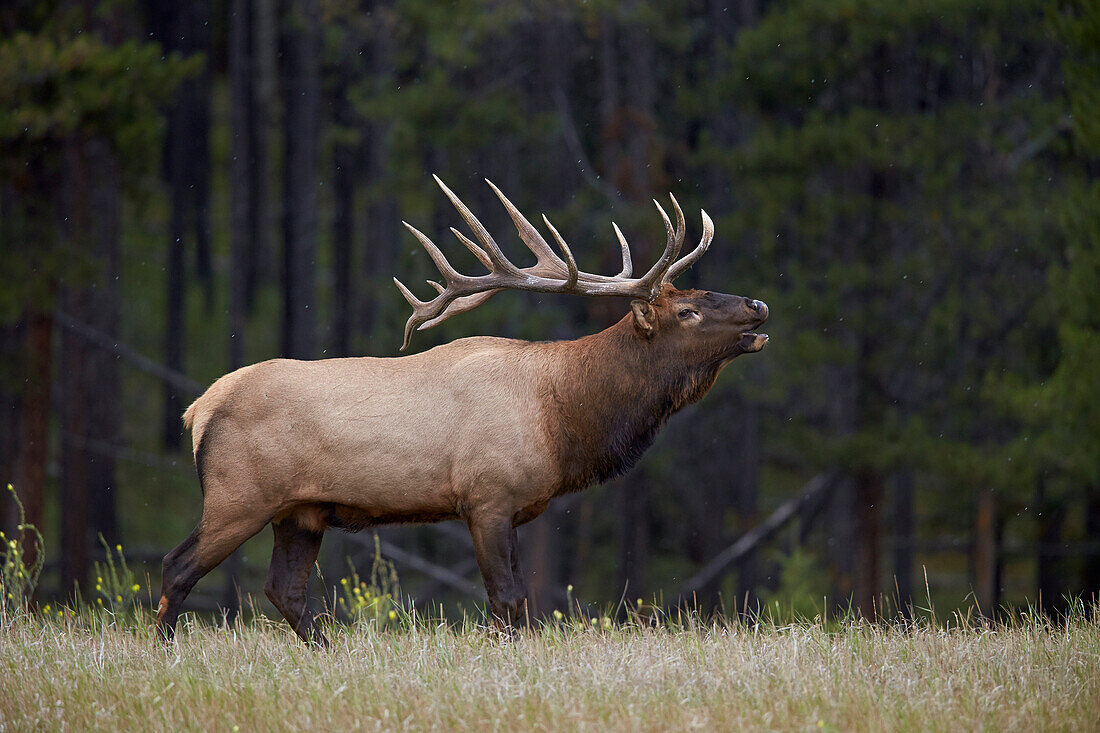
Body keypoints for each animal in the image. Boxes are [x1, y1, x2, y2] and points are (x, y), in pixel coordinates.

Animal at [159, 173, 770, 642]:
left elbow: (520, 604)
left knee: (283, 589)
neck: (564, 419)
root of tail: (198, 410)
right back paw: (166, 647)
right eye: (688, 311)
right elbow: (507, 599)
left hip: (301, 510)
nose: (758, 305)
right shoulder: (487, 496)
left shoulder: (516, 508)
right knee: (177, 567)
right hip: (239, 495)